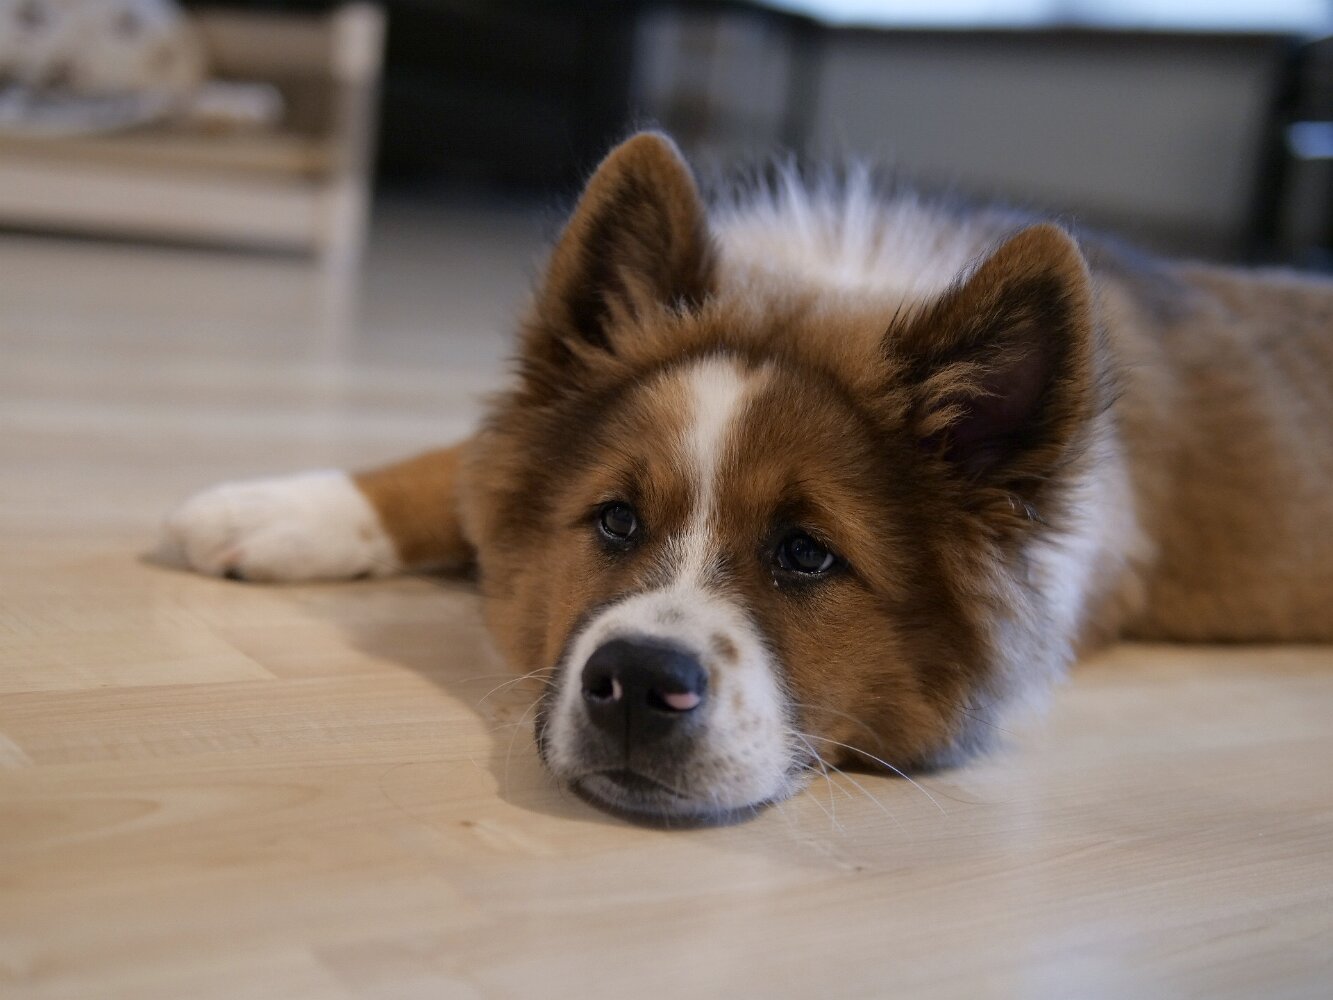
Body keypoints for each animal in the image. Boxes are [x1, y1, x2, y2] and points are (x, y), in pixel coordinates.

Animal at [166, 132, 1333, 825]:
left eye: (808, 553)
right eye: (614, 520)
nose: (636, 683)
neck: (841, 285)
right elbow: (450, 465)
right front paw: (281, 506)